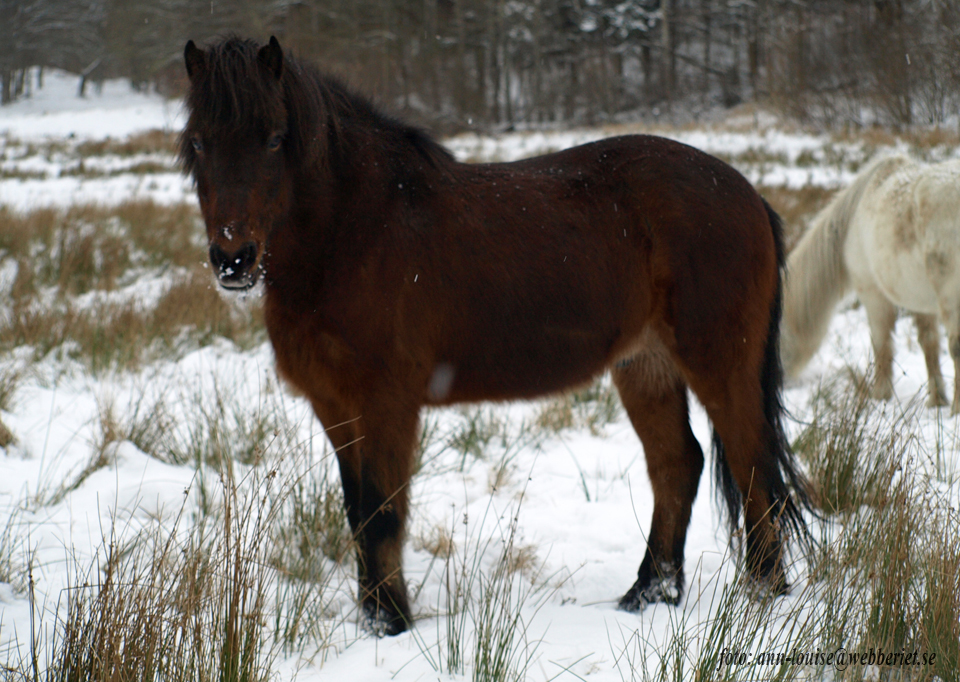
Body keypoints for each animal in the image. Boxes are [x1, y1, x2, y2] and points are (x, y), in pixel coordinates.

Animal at [180, 35, 808, 632]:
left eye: (274, 138)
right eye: (199, 143)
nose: (233, 259)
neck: (355, 232)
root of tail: (748, 194)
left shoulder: (386, 403)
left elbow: (382, 512)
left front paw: (391, 624)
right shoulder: (334, 405)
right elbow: (357, 511)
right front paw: (373, 616)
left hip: (719, 364)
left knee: (753, 467)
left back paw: (762, 597)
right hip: (645, 366)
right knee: (678, 465)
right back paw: (648, 596)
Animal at [784, 154, 960, 412]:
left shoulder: (872, 293)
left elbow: (881, 344)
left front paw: (880, 396)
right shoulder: (919, 300)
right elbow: (929, 344)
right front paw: (936, 400)